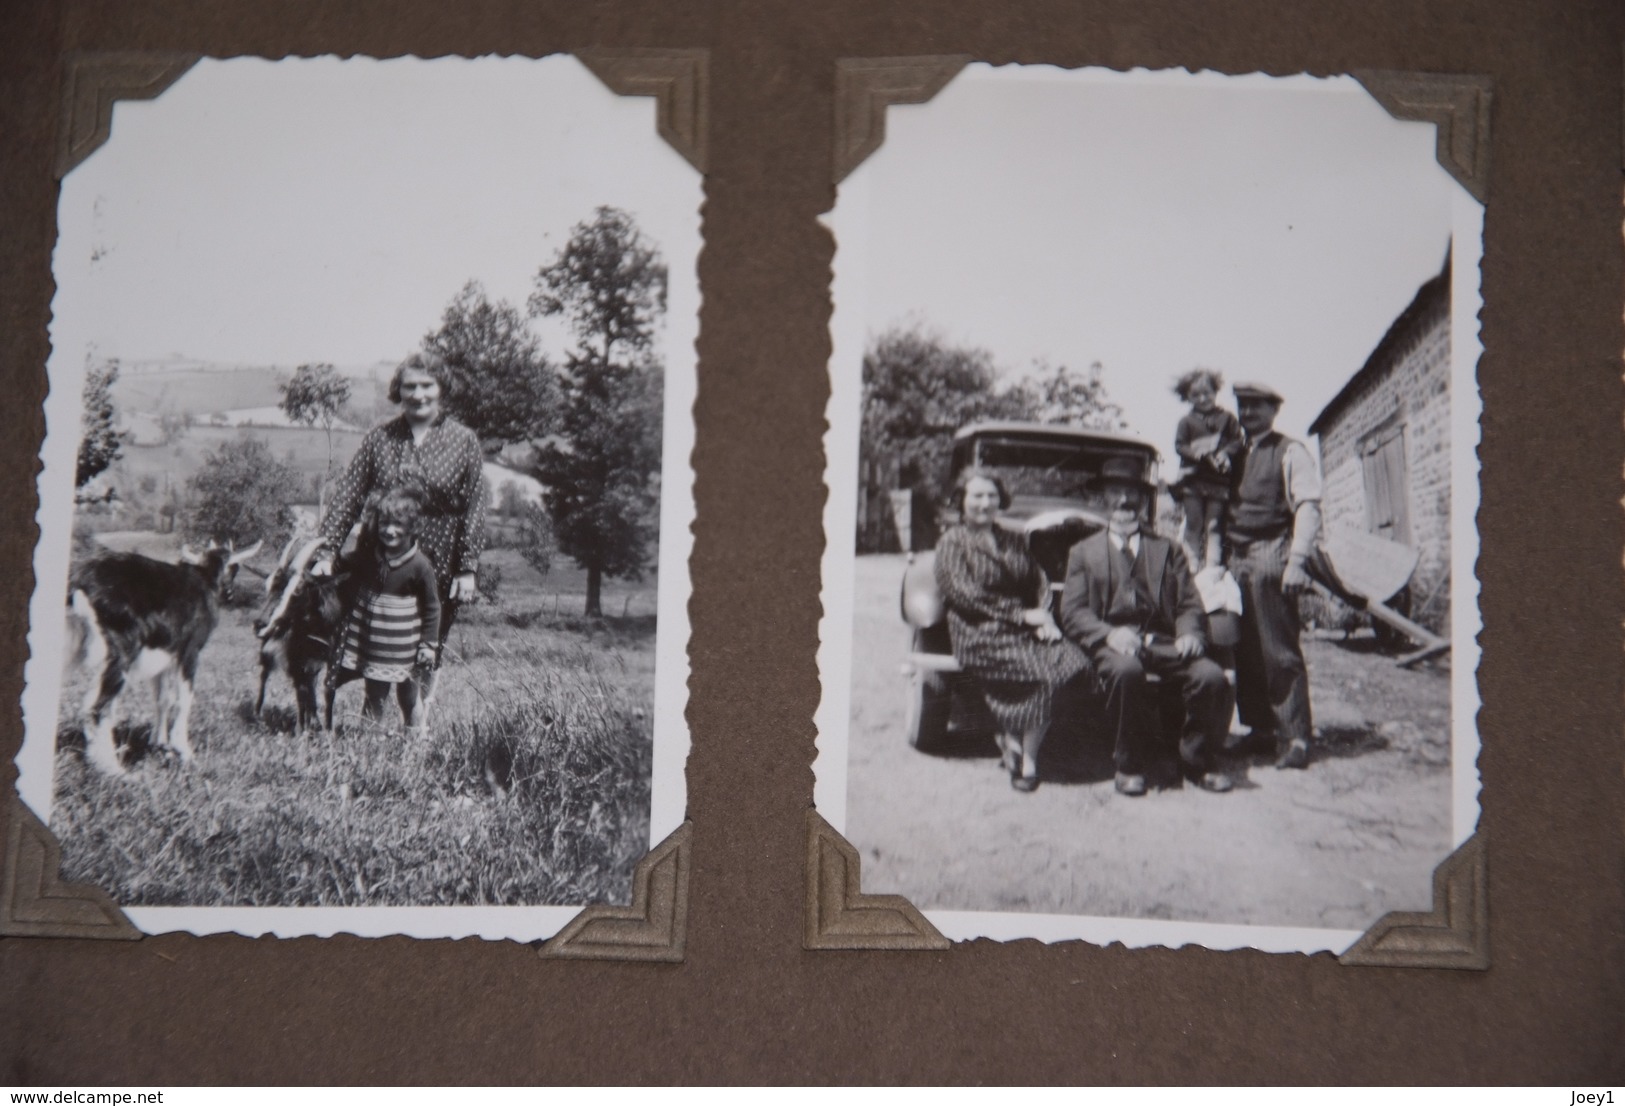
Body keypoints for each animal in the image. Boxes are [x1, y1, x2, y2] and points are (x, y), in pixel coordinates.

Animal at [67, 539, 260, 773]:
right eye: (234, 567)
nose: (230, 594)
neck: (205, 579)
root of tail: (79, 582)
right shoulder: (189, 650)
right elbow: (184, 698)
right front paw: (184, 750)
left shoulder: (166, 655)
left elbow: (163, 699)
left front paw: (159, 742)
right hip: (122, 653)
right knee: (98, 705)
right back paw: (114, 770)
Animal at [251, 535, 347, 734]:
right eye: (269, 588)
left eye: (298, 589)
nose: (259, 624)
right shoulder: (296, 660)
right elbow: (302, 694)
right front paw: (302, 729)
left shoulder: (332, 656)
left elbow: (326, 691)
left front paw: (326, 729)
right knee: (265, 675)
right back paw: (258, 715)